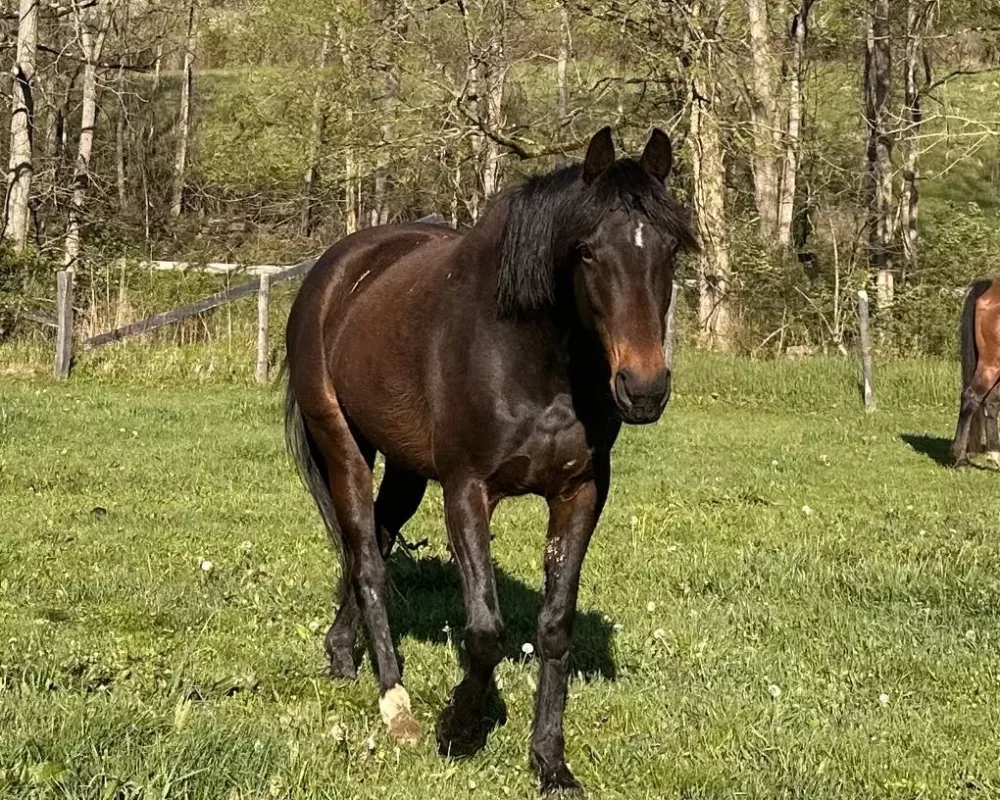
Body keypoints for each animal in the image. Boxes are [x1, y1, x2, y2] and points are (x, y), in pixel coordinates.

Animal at [282, 128, 696, 792]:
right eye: (586, 251)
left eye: (671, 247)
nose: (643, 387)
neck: (532, 360)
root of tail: (337, 267)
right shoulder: (468, 489)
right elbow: (484, 630)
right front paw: (460, 729)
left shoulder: (581, 492)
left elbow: (554, 627)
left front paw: (550, 762)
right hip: (342, 442)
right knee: (367, 561)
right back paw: (396, 704)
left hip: (405, 468)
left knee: (374, 538)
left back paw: (342, 653)